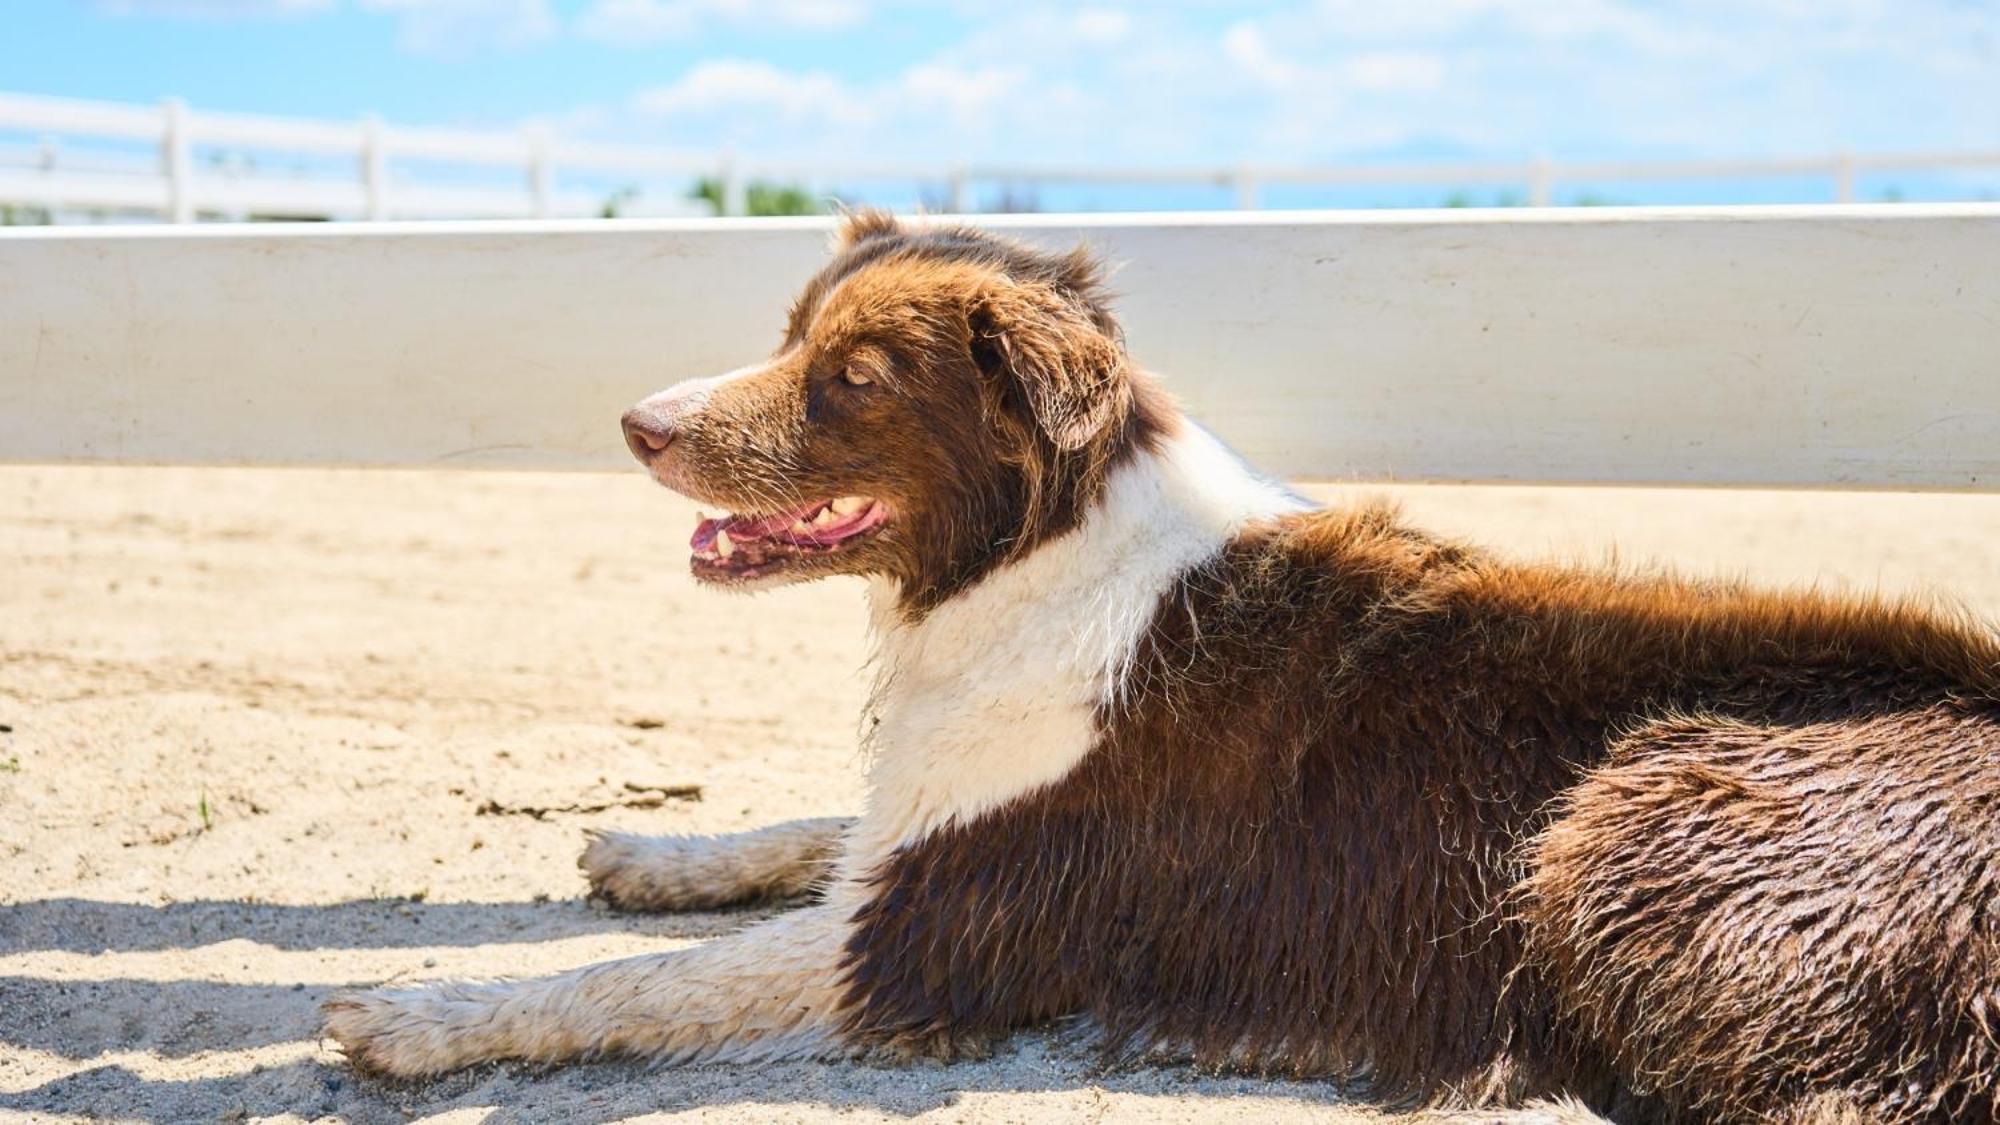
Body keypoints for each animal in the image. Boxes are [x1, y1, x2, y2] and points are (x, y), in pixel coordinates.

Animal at [320, 212, 2000, 1120]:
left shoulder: (922, 937)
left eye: (851, 377)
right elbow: (804, 831)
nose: (637, 423)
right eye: (786, 333)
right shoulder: (917, 828)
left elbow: (634, 981)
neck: (1035, 558)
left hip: (1630, 803)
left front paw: (419, 1017)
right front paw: (657, 849)